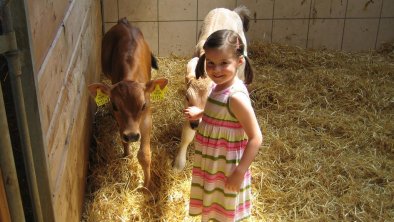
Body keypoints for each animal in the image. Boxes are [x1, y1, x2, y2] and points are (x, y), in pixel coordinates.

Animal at [87, 18, 168, 190]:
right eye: (115, 106)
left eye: (143, 106)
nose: (131, 135)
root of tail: (124, 22)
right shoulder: (120, 121)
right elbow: (122, 137)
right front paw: (126, 155)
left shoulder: (146, 118)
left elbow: (144, 155)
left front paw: (146, 186)